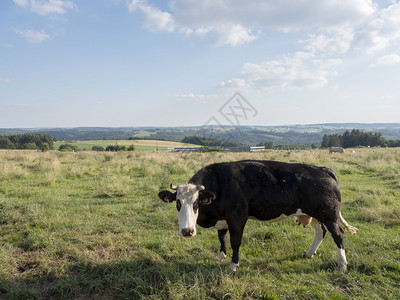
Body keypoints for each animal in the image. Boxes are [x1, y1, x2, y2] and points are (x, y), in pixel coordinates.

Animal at [158, 159, 358, 272]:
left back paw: (342, 265)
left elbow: (235, 242)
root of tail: (322, 169)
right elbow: (222, 238)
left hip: (329, 215)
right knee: (320, 232)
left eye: (196, 203)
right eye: (178, 203)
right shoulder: (223, 219)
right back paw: (309, 253)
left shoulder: (237, 217)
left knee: (338, 235)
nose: (187, 231)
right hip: (313, 214)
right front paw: (221, 256)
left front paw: (233, 265)